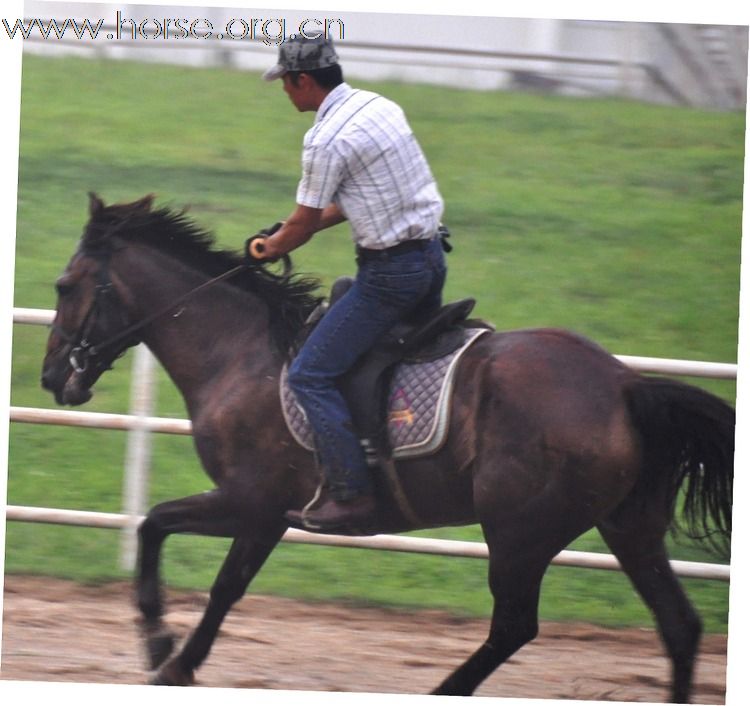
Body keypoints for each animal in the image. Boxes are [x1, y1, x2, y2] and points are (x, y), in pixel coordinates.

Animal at [41, 192, 736, 700]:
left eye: (64, 285)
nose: (50, 377)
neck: (238, 352)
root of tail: (624, 384)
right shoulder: (257, 507)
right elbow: (168, 538)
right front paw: (164, 648)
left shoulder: (254, 503)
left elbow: (200, 565)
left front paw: (169, 656)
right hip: (628, 527)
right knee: (679, 627)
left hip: (520, 530)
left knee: (513, 625)